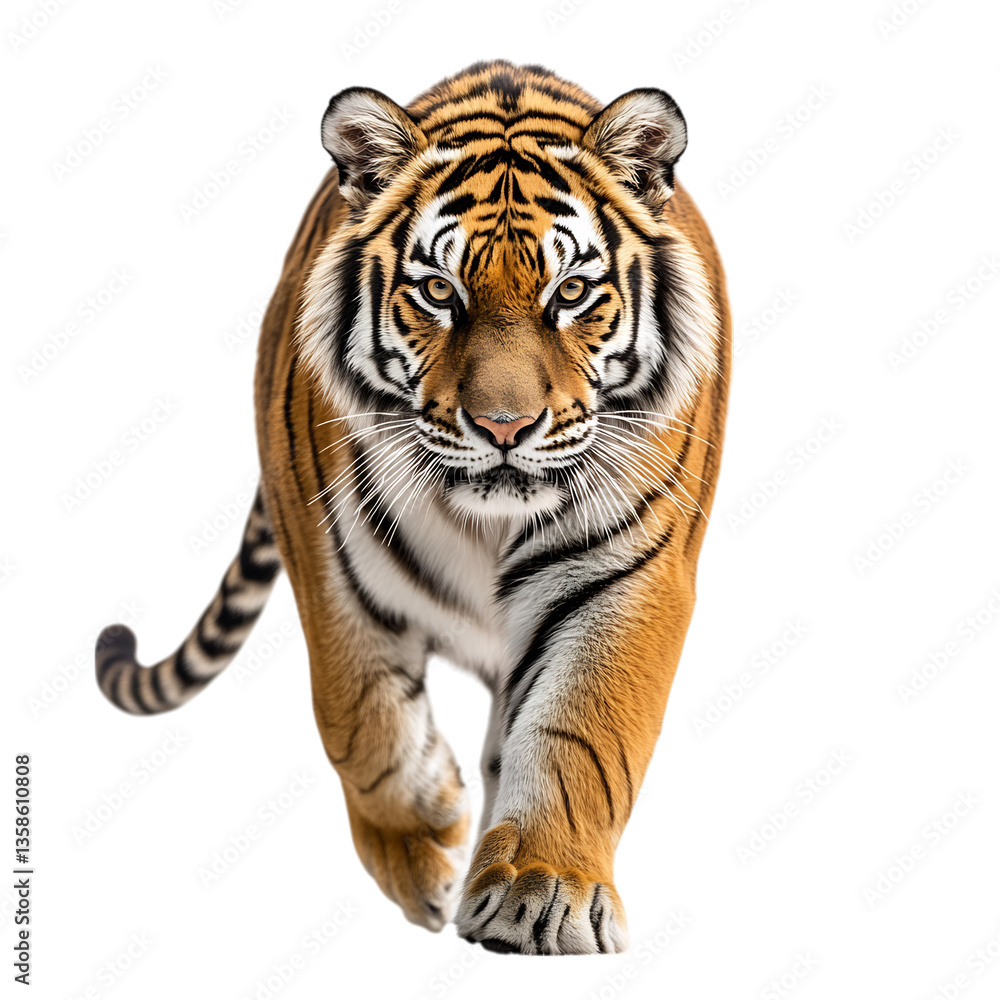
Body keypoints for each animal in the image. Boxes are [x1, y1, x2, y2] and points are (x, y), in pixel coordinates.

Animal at [94, 60, 730, 955]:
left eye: (572, 292)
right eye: (438, 290)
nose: (504, 426)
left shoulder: (628, 572)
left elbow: (581, 730)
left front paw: (543, 891)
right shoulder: (328, 557)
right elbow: (359, 719)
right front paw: (423, 846)